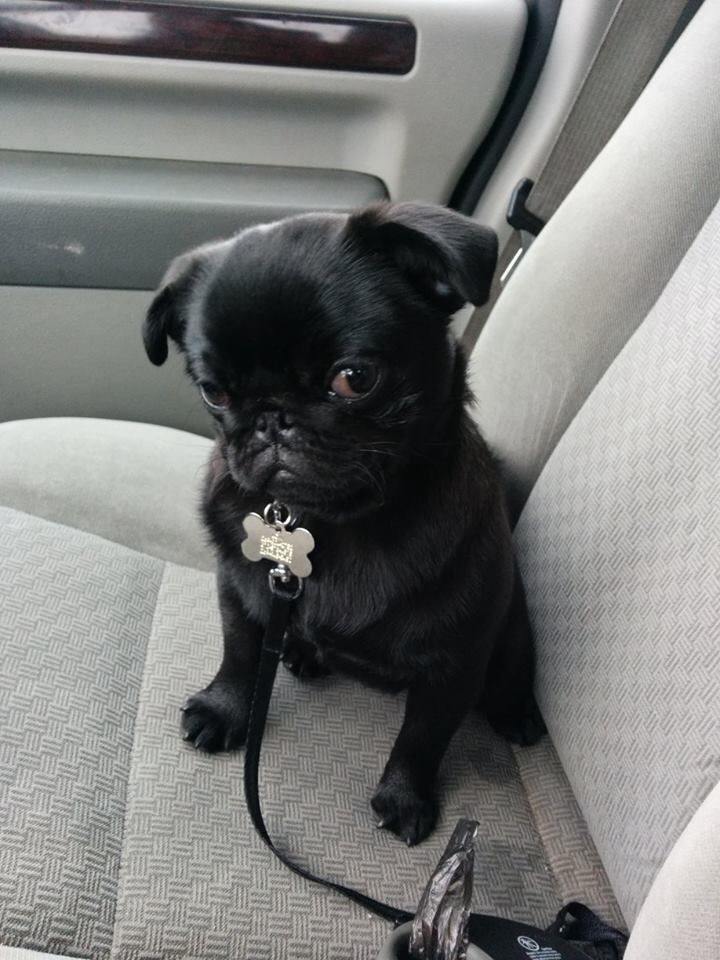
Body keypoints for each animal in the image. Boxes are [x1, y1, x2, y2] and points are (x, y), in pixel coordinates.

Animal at [145, 201, 540, 840]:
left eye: (353, 379)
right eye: (214, 392)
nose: (271, 418)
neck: (331, 519)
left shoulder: (453, 665)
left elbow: (422, 737)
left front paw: (404, 798)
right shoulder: (241, 591)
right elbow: (239, 656)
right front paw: (223, 710)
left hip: (512, 625)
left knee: (514, 666)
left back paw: (516, 712)